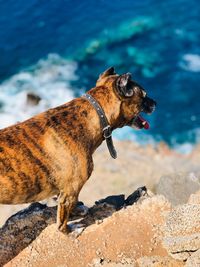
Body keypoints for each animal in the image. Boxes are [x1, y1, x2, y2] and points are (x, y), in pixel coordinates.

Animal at [0, 68, 156, 233]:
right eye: (144, 95)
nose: (155, 103)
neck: (93, 116)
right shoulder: (70, 190)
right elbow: (62, 222)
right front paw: (70, 230)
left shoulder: (66, 192)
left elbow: (71, 204)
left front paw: (77, 210)